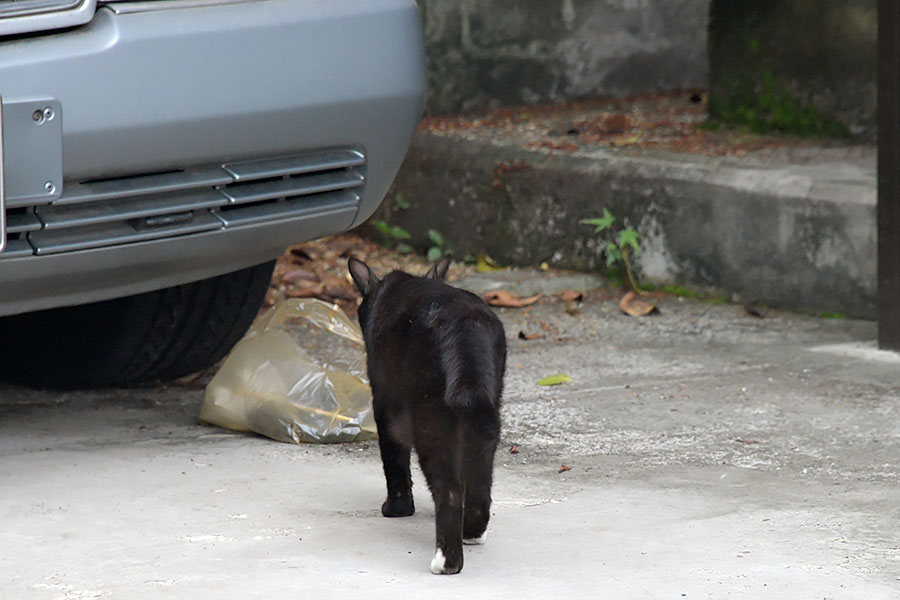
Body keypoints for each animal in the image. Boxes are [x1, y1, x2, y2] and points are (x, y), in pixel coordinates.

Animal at [348, 255, 506, 576]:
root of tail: (463, 324)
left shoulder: (384, 406)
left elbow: (394, 461)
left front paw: (397, 509)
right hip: (485, 414)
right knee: (480, 482)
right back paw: (472, 533)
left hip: (429, 421)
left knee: (450, 489)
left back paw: (446, 561)